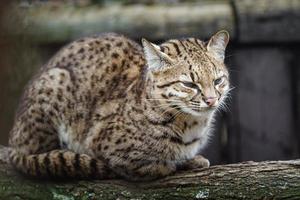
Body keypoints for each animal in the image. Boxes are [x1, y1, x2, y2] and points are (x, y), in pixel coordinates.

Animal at [8, 30, 231, 181]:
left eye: (218, 81)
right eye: (189, 84)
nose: (212, 100)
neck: (192, 125)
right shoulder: (108, 146)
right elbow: (158, 165)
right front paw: (184, 162)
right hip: (55, 83)